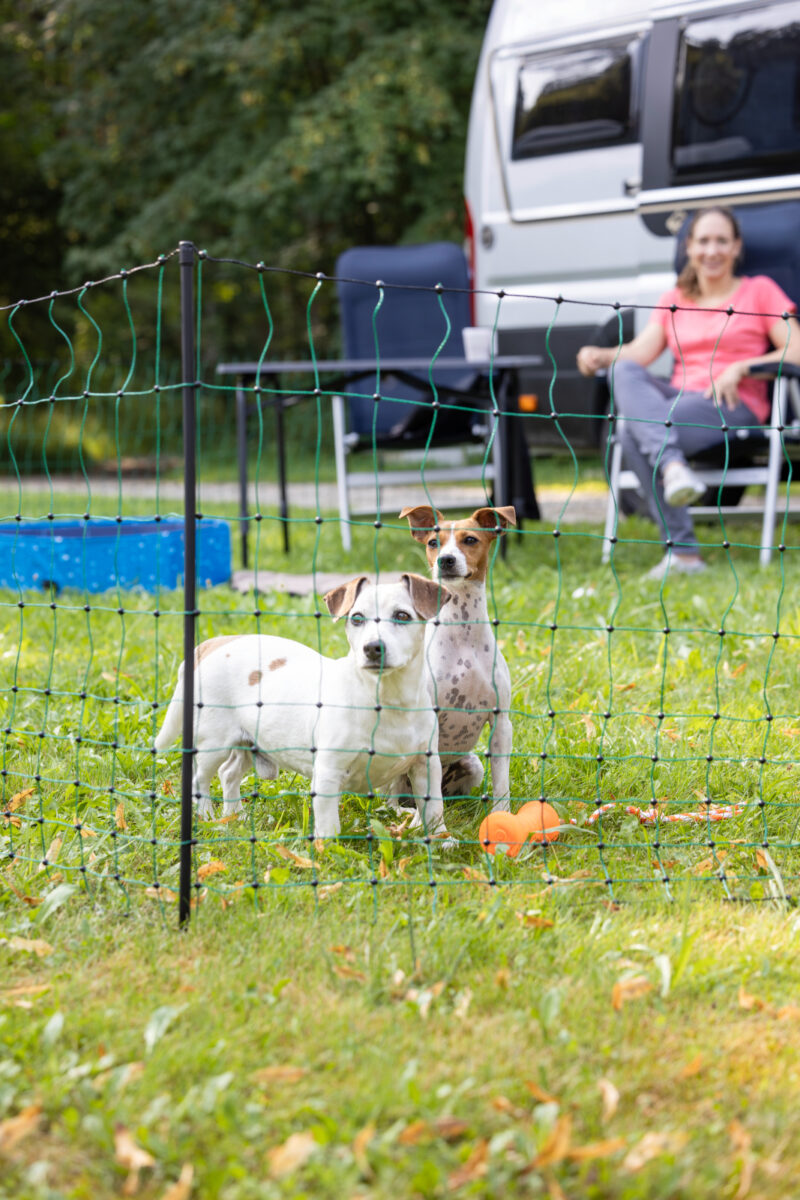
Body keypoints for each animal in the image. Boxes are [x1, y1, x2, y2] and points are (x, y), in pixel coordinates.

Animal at [151, 573, 450, 840]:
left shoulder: (427, 767)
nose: (372, 648)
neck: (389, 700)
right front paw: (327, 852)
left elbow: (434, 808)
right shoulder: (328, 772)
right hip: (213, 744)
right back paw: (208, 817)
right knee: (199, 781)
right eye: (357, 618)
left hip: (247, 742)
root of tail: (216, 643)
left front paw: (442, 840)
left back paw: (234, 816)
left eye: (403, 616)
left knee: (228, 774)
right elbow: (329, 825)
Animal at [398, 501, 515, 811]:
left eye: (470, 540)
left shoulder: (501, 725)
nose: (446, 560)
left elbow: (502, 785)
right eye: (433, 543)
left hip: (473, 765)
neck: (463, 633)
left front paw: (502, 815)